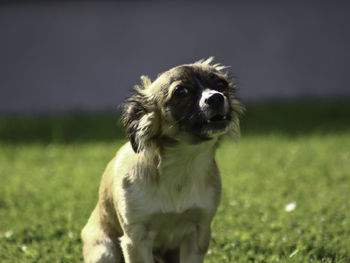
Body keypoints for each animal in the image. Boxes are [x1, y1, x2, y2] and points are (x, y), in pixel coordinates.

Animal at [80, 58, 243, 263]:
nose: (216, 97)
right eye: (181, 92)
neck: (183, 163)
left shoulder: (199, 232)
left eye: (222, 85)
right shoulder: (136, 239)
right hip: (105, 251)